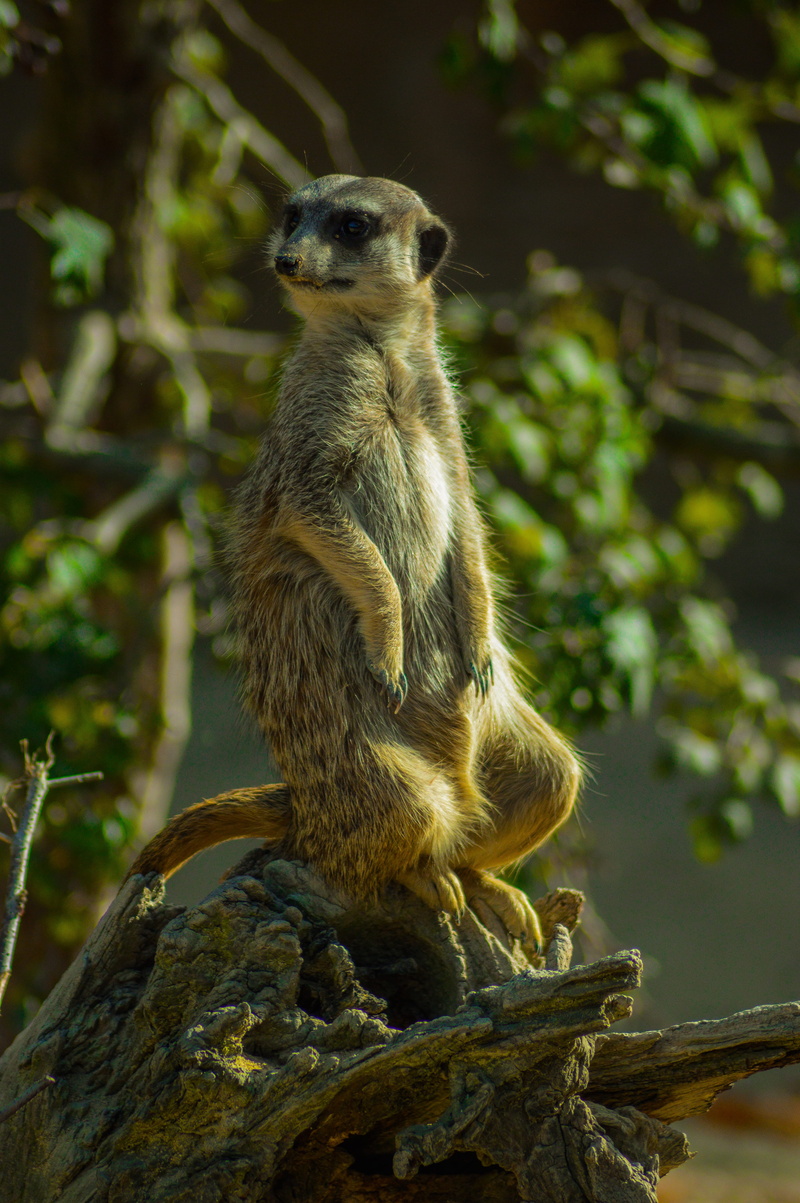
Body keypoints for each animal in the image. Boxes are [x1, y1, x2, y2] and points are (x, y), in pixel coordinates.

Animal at [127, 175, 581, 952]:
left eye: (350, 225)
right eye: (290, 215)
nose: (285, 259)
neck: (385, 361)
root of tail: (302, 806)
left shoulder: (446, 427)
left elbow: (468, 527)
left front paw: (480, 643)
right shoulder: (309, 447)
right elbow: (314, 516)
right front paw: (389, 635)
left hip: (502, 737)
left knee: (550, 779)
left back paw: (488, 883)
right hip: (364, 762)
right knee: (390, 830)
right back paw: (428, 876)